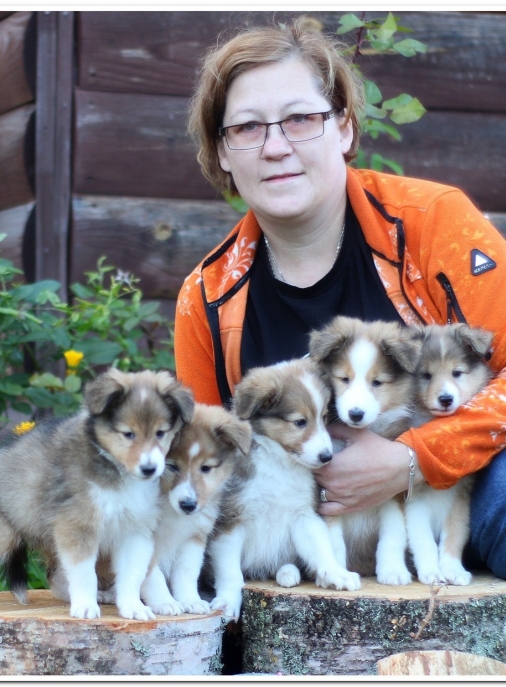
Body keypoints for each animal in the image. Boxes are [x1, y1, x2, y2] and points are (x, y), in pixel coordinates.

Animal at [0, 368, 194, 620]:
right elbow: (84, 573)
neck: (117, 472)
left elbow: (132, 574)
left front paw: (133, 607)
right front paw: (85, 607)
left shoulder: (135, 530)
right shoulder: (77, 526)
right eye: (128, 434)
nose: (149, 469)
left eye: (160, 433)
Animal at [208, 357, 361, 621]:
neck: (278, 463)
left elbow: (321, 548)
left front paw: (337, 573)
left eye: (324, 417)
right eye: (300, 422)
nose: (327, 457)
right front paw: (228, 602)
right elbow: (230, 572)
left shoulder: (303, 515)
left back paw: (288, 572)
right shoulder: (229, 522)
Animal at [309, 315, 423, 585]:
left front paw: (392, 570)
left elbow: (393, 533)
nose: (355, 414)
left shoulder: (392, 491)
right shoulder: (326, 496)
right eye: (344, 379)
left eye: (377, 382)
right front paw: (337, 576)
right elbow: (333, 540)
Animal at [405, 323, 494, 585]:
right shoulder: (413, 501)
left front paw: (453, 570)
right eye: (426, 375)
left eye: (457, 373)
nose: (445, 399)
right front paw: (432, 573)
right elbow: (422, 539)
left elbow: (455, 535)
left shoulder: (460, 498)